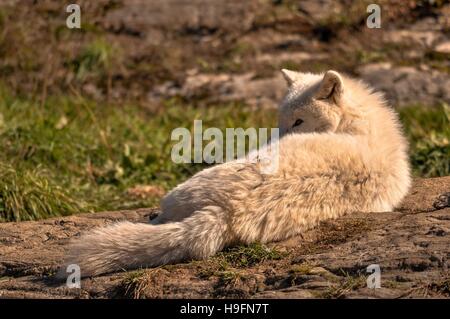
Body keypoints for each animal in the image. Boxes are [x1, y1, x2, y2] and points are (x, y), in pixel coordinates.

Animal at [62, 69, 412, 278]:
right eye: (280, 120)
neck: (358, 126)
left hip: (183, 190)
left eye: (298, 122)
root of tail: (226, 212)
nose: (274, 140)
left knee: (161, 219)